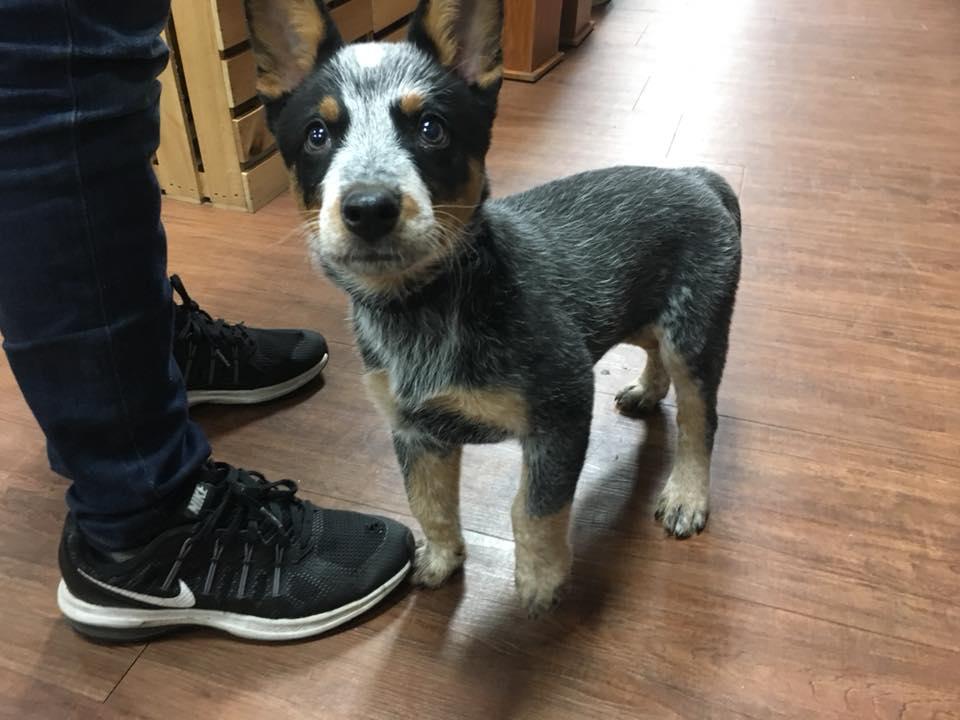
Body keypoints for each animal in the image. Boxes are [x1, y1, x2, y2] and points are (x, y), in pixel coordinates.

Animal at [245, 0, 741, 615]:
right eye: (317, 134)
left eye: (432, 128)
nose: (369, 207)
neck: (428, 305)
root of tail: (697, 177)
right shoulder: (415, 430)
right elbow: (428, 503)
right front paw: (440, 558)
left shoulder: (563, 406)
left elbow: (533, 506)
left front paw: (541, 577)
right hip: (644, 312)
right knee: (654, 352)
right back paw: (648, 390)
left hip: (694, 334)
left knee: (700, 419)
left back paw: (687, 494)